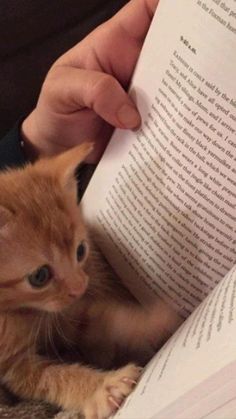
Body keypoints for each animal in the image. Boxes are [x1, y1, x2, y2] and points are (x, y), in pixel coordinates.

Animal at [0, 144, 181, 416]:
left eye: (80, 251)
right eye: (40, 276)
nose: (80, 287)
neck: (18, 312)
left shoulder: (64, 314)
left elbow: (95, 318)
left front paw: (145, 322)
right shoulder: (12, 365)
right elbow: (49, 377)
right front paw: (103, 388)